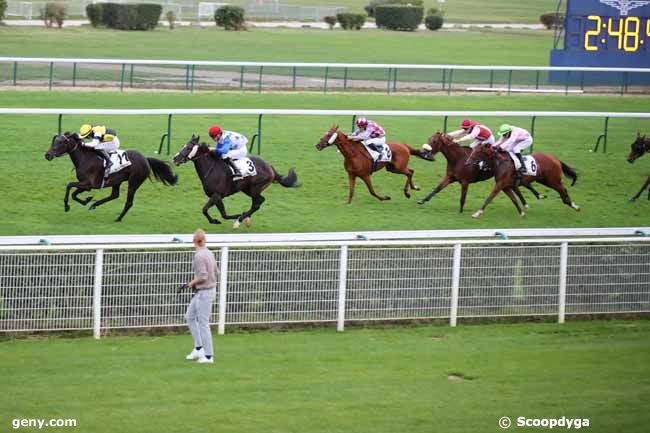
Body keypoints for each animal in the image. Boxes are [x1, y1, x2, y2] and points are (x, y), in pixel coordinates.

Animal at [44, 132, 177, 221]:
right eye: (55, 141)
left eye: (61, 142)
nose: (47, 155)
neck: (85, 158)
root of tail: (145, 159)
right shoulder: (85, 185)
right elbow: (73, 193)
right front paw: (87, 200)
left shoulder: (88, 184)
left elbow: (69, 185)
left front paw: (67, 205)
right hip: (117, 180)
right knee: (114, 195)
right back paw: (94, 205)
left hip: (134, 182)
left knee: (129, 202)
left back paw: (118, 218)